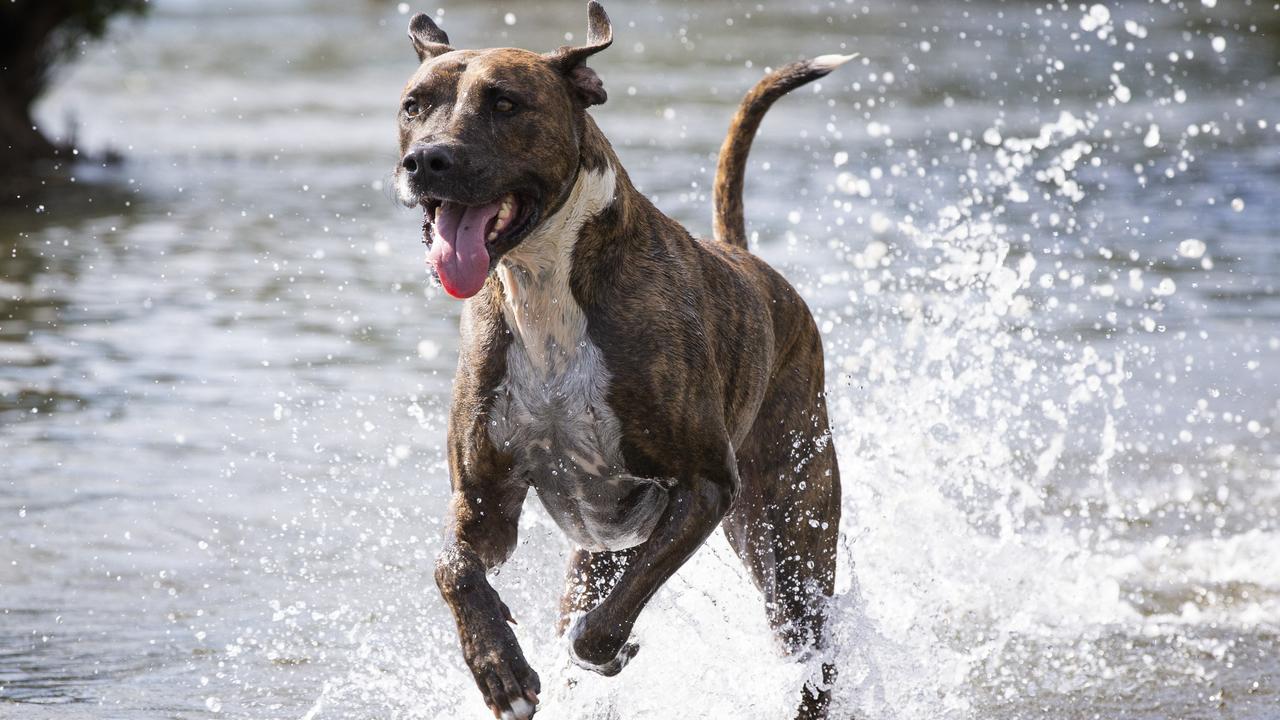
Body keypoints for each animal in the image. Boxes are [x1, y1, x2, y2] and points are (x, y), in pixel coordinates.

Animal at [394, 2, 855, 712]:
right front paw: (499, 668)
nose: (425, 161)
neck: (543, 289)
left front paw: (607, 651)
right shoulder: (484, 502)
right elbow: (453, 568)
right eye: (414, 106)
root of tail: (749, 260)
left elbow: (600, 628)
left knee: (808, 650)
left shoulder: (705, 486)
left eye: (504, 103)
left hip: (790, 542)